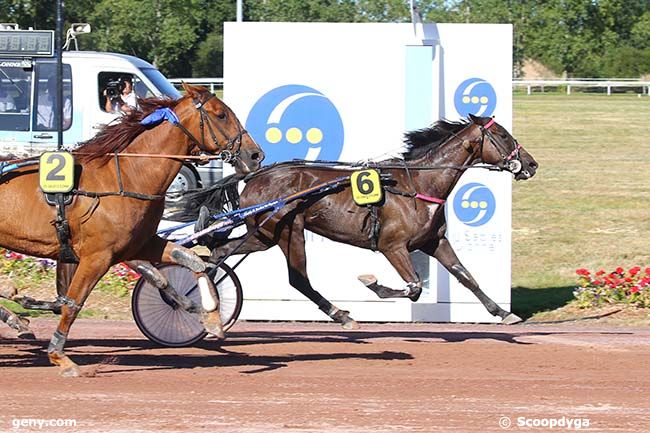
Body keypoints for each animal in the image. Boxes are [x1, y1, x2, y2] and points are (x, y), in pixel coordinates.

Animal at [0, 84, 264, 374]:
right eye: (221, 115)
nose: (256, 155)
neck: (127, 177)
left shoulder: (140, 244)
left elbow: (189, 262)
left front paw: (209, 316)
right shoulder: (96, 257)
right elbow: (73, 304)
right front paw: (60, 356)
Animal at [209, 115, 536, 328]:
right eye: (503, 135)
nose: (531, 164)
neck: (420, 184)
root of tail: (254, 177)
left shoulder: (434, 241)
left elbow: (465, 276)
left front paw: (502, 313)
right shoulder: (393, 246)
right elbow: (414, 287)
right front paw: (373, 283)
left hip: (264, 235)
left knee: (221, 252)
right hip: (287, 231)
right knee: (297, 278)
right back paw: (342, 316)